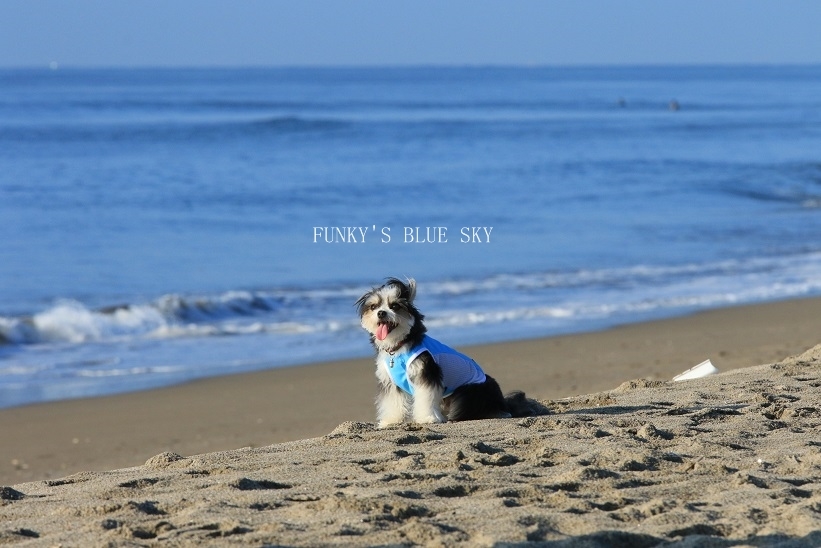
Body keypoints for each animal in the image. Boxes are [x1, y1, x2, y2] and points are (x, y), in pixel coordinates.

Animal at [356, 276, 528, 426]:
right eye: (373, 307)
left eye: (394, 306)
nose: (381, 313)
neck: (399, 346)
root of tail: (502, 404)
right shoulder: (391, 382)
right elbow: (393, 402)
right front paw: (391, 421)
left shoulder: (426, 374)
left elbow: (426, 398)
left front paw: (427, 418)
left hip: (469, 391)